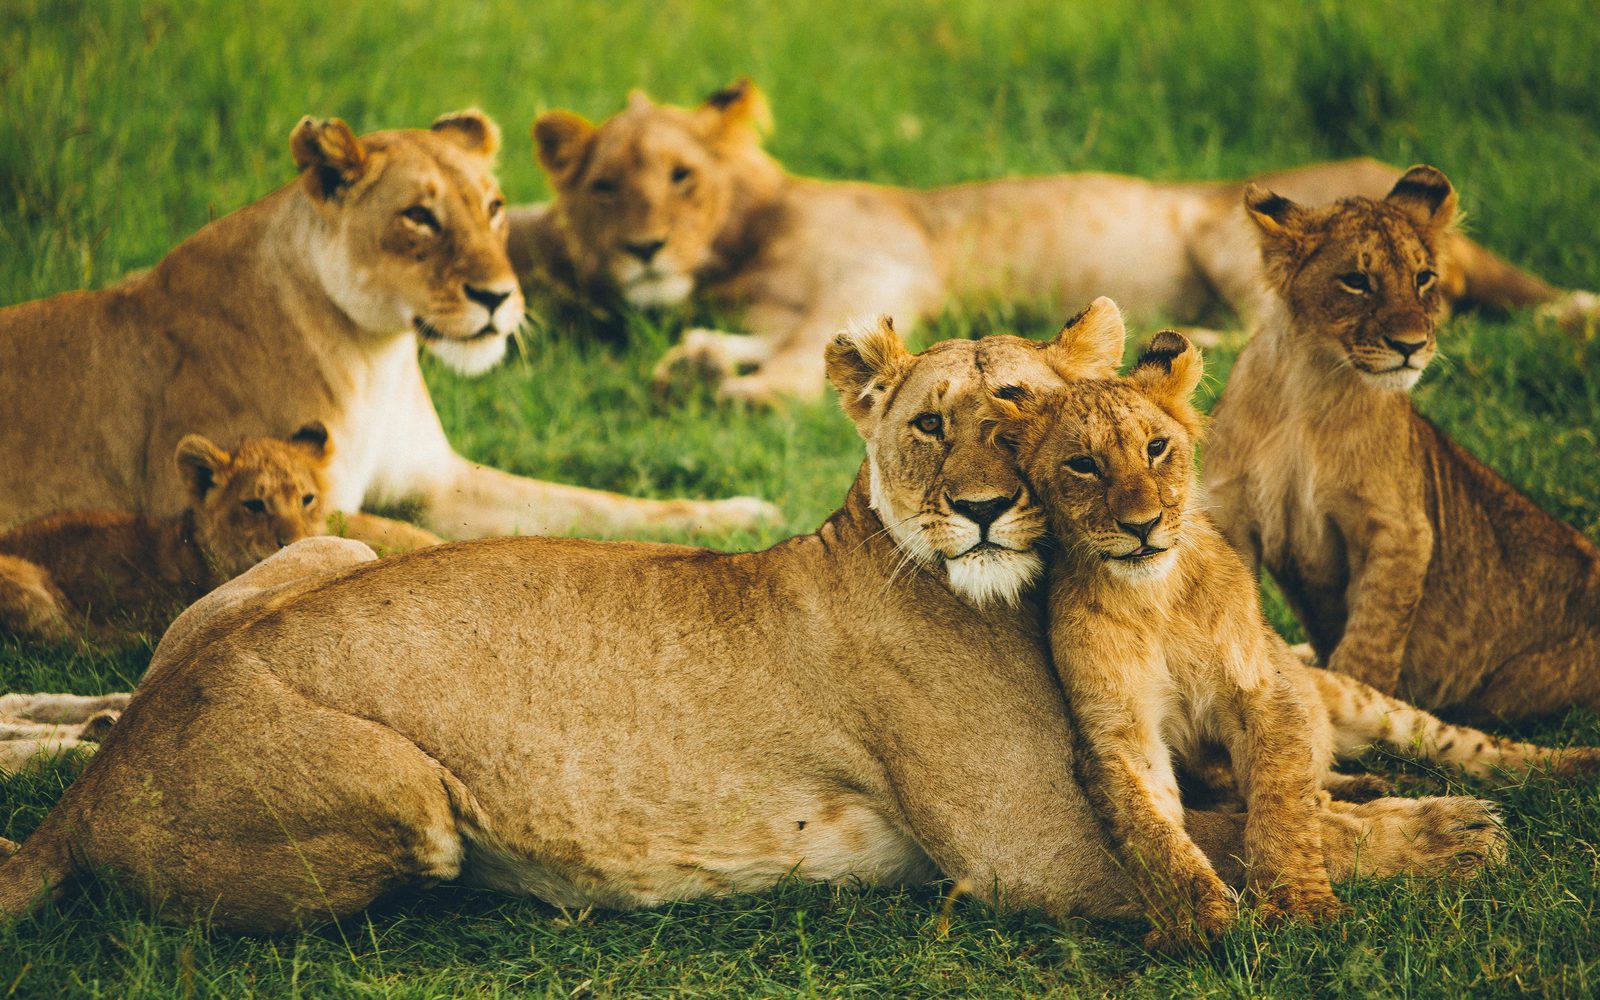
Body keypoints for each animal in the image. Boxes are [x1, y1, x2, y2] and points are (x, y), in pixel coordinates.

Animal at [0, 110, 775, 540]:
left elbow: (595, 503)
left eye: (494, 207)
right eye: (420, 217)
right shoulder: (245, 500)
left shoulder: (441, 482)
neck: (376, 356)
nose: (498, 297)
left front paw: (740, 514)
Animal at [0, 323, 1502, 933]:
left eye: (1021, 410)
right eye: (930, 426)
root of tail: (95, 789)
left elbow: (1267, 796)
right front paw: (1450, 833)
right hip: (408, 797)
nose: (980, 509)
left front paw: (1385, 793)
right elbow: (1225, 839)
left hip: (322, 545)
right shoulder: (1032, 856)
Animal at [512, 78, 1599, 406]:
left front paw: (737, 390)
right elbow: (780, 338)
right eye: (605, 186)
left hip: (1226, 232)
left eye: (681, 178)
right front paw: (698, 359)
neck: (738, 248)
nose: (643, 249)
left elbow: (803, 356)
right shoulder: (794, 301)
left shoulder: (878, 266)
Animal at [986, 305, 1599, 950]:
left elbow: (1280, 803)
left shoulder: (1265, 691)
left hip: (1363, 700)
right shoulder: (1117, 734)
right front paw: (1194, 923)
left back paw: (1574, 766)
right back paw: (1367, 789)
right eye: (1083, 465)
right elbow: (1153, 834)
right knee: (1324, 782)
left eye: (1157, 448)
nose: (1143, 525)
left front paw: (1297, 905)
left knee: (1474, 747)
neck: (1153, 597)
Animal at [1204, 166, 1600, 723]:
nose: (1411, 346)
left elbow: (1371, 640)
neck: (1308, 386)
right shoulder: (1230, 513)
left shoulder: (1400, 528)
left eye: (1423, 278)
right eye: (1356, 280)